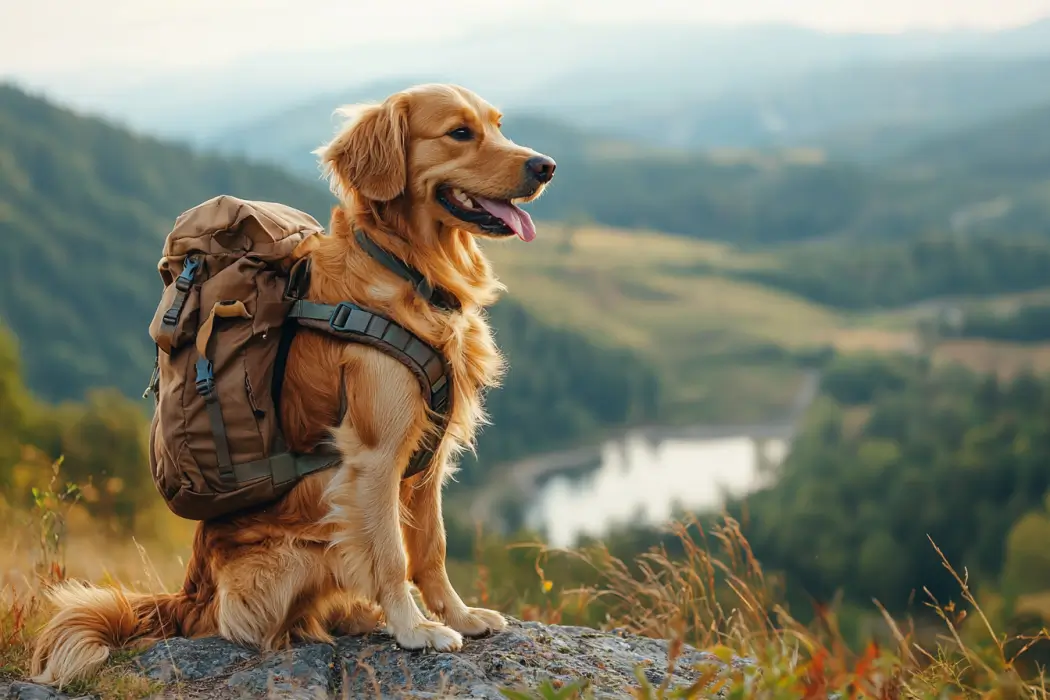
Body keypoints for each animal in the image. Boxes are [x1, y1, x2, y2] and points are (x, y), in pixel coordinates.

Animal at [30, 80, 558, 684]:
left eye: (497, 125)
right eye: (460, 132)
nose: (546, 166)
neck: (407, 267)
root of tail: (189, 597)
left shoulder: (428, 455)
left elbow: (432, 548)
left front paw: (460, 616)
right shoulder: (376, 456)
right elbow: (391, 554)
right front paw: (413, 628)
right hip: (300, 550)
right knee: (260, 622)